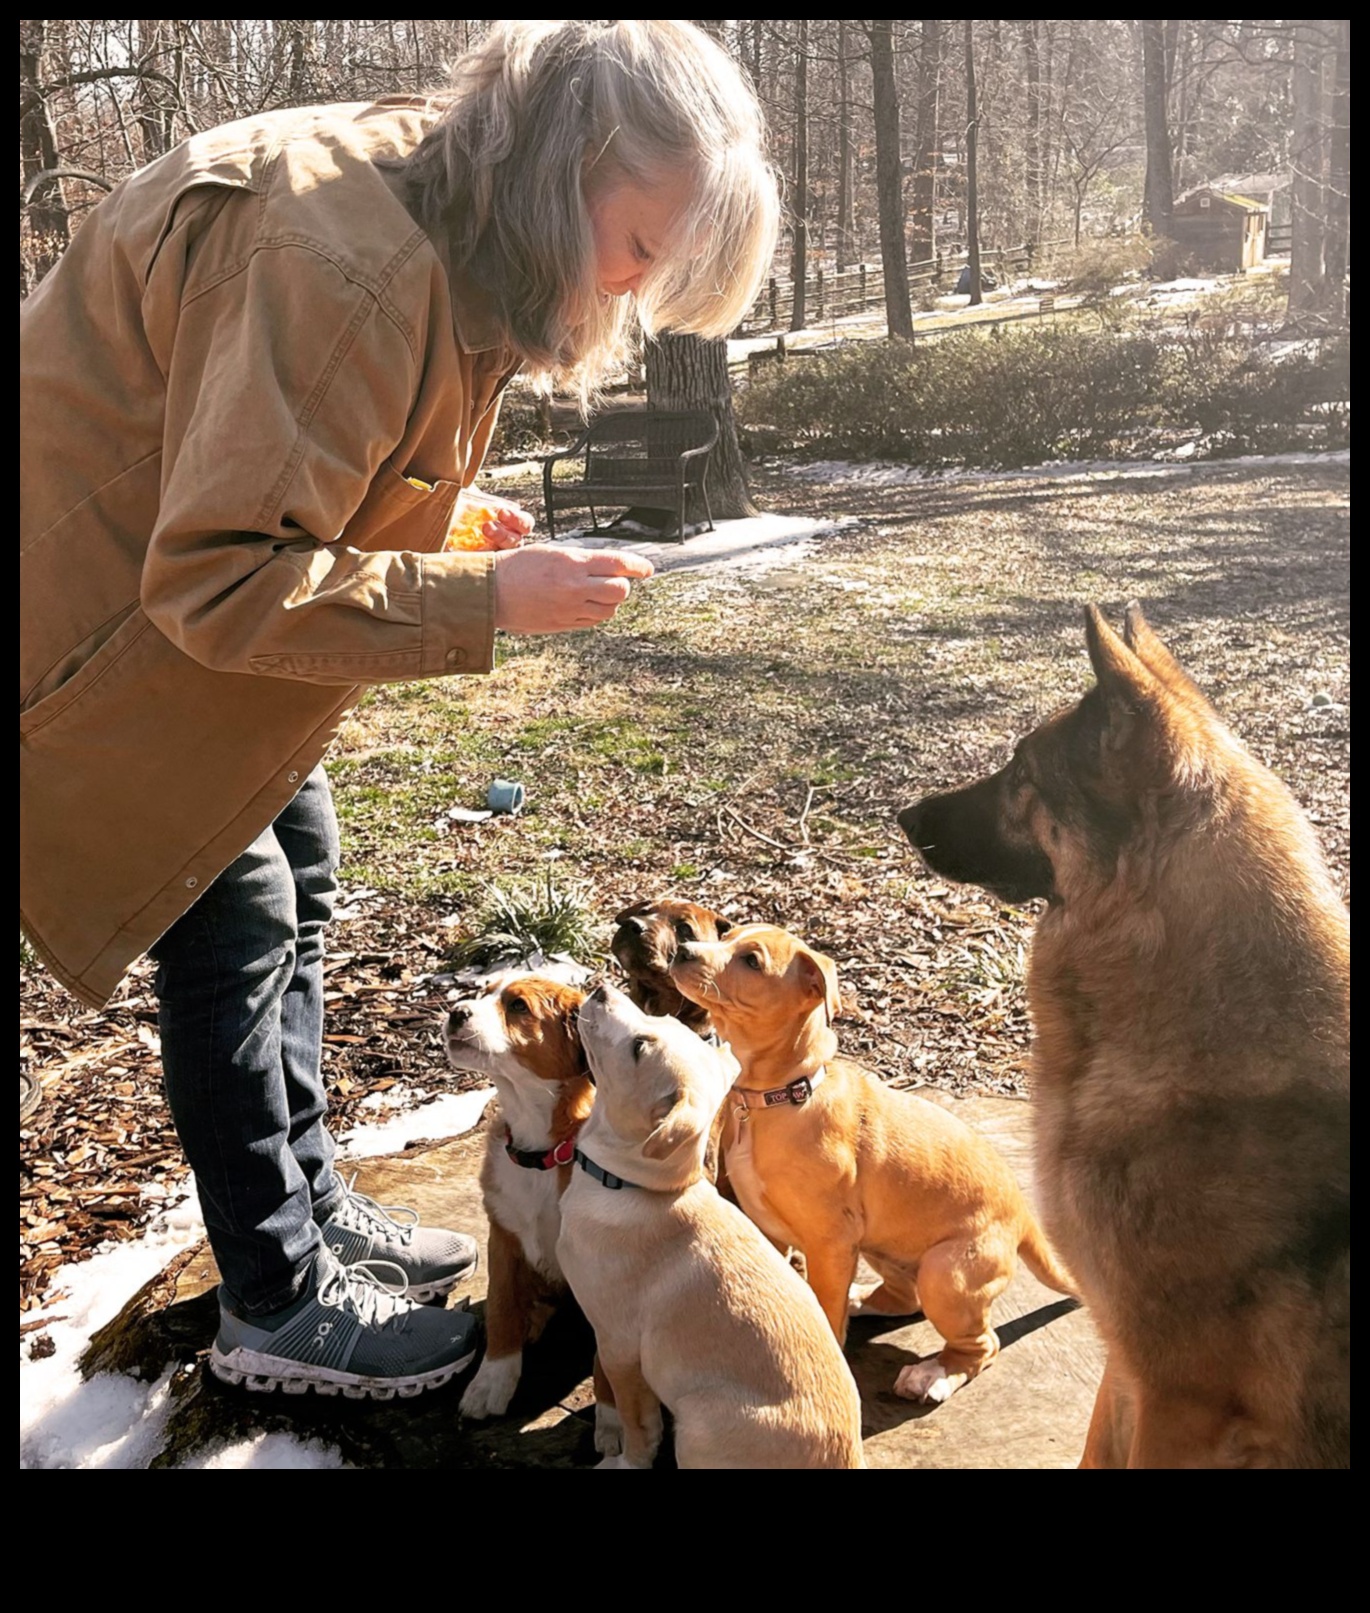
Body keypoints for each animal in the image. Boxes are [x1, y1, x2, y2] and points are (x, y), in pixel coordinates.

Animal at [442, 967, 613, 1438]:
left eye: (518, 1006)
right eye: (482, 992)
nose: (455, 1011)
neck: (544, 1149)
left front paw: (614, 1421)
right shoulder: (503, 1237)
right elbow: (502, 1307)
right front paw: (491, 1382)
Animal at [551, 980, 852, 1477]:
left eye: (639, 1047)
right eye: (660, 1019)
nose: (601, 988)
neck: (638, 1186)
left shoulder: (618, 1344)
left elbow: (637, 1424)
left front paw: (623, 1460)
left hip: (698, 1426)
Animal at [668, 929, 1071, 1406]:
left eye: (751, 961)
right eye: (726, 935)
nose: (681, 950)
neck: (781, 1095)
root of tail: (1023, 1214)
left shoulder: (830, 1240)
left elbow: (825, 1313)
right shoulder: (773, 1231)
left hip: (947, 1274)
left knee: (982, 1343)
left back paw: (933, 1374)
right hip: (886, 1248)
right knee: (904, 1297)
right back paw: (861, 1299)